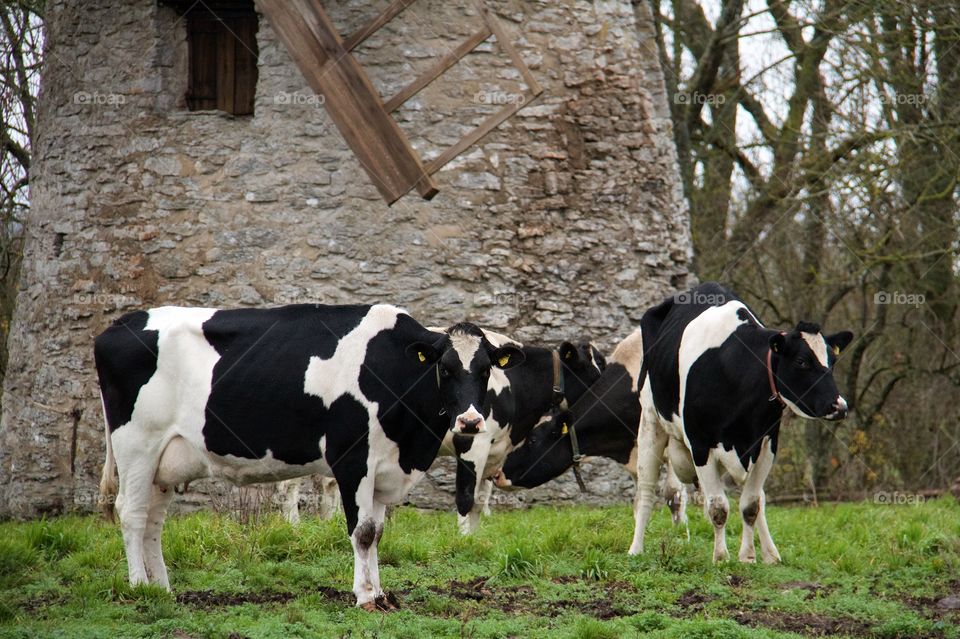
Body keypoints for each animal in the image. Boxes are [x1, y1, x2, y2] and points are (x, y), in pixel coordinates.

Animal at [95, 304, 524, 610]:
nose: (470, 421)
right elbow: (362, 532)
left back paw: (162, 589)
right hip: (137, 446)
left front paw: (380, 594)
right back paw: (139, 587)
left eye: (485, 370)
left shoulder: (383, 468)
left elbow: (378, 532)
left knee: (153, 522)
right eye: (445, 369)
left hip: (164, 461)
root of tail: (118, 325)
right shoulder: (352, 459)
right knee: (132, 514)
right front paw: (364, 598)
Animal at [628, 282, 852, 563]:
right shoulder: (700, 445)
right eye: (802, 361)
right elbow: (718, 507)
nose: (839, 406)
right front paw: (721, 558)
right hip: (650, 421)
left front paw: (748, 556)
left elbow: (751, 505)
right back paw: (636, 549)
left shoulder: (766, 443)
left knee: (759, 498)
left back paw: (771, 554)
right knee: (646, 489)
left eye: (832, 363)